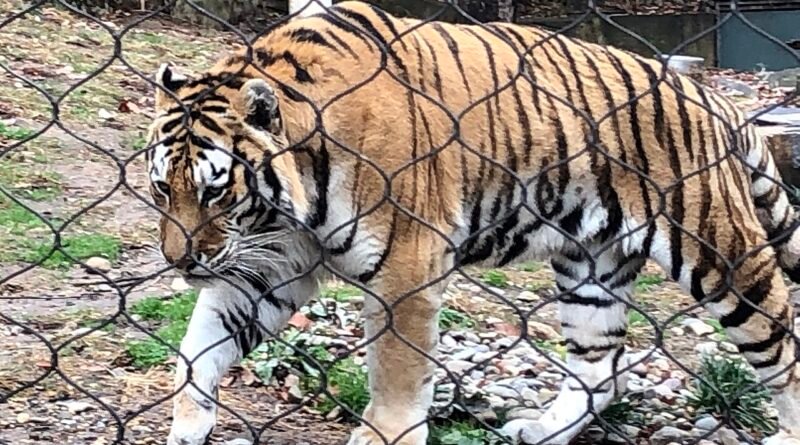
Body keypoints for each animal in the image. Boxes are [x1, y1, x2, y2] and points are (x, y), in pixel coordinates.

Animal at [143, 1, 800, 444]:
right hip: (592, 268)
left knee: (780, 348)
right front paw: (189, 424)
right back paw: (541, 430)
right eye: (162, 188)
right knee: (601, 371)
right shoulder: (272, 262)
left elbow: (398, 371)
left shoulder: (406, 266)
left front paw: (385, 433)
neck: (291, 199)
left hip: (720, 254)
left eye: (216, 192)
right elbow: (201, 344)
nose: (181, 261)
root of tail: (714, 99)